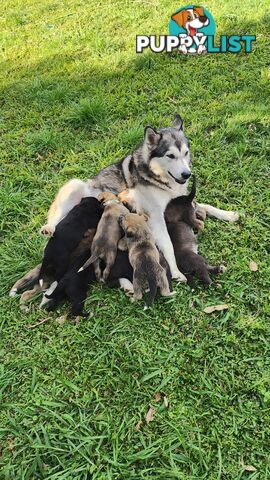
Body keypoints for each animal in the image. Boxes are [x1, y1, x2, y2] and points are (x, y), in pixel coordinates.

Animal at [9, 115, 238, 294]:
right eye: (170, 155)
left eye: (185, 154)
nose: (186, 174)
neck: (159, 177)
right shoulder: (156, 216)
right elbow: (168, 245)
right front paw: (176, 271)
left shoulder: (180, 198)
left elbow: (206, 205)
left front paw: (228, 214)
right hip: (73, 185)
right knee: (54, 221)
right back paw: (48, 229)